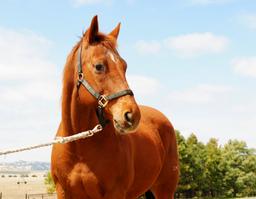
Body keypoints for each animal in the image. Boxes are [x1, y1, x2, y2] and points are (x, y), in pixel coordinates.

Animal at [51, 15, 179, 199]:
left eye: (124, 66)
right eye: (99, 66)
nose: (132, 115)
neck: (79, 150)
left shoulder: (115, 192)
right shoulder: (64, 192)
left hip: (165, 190)